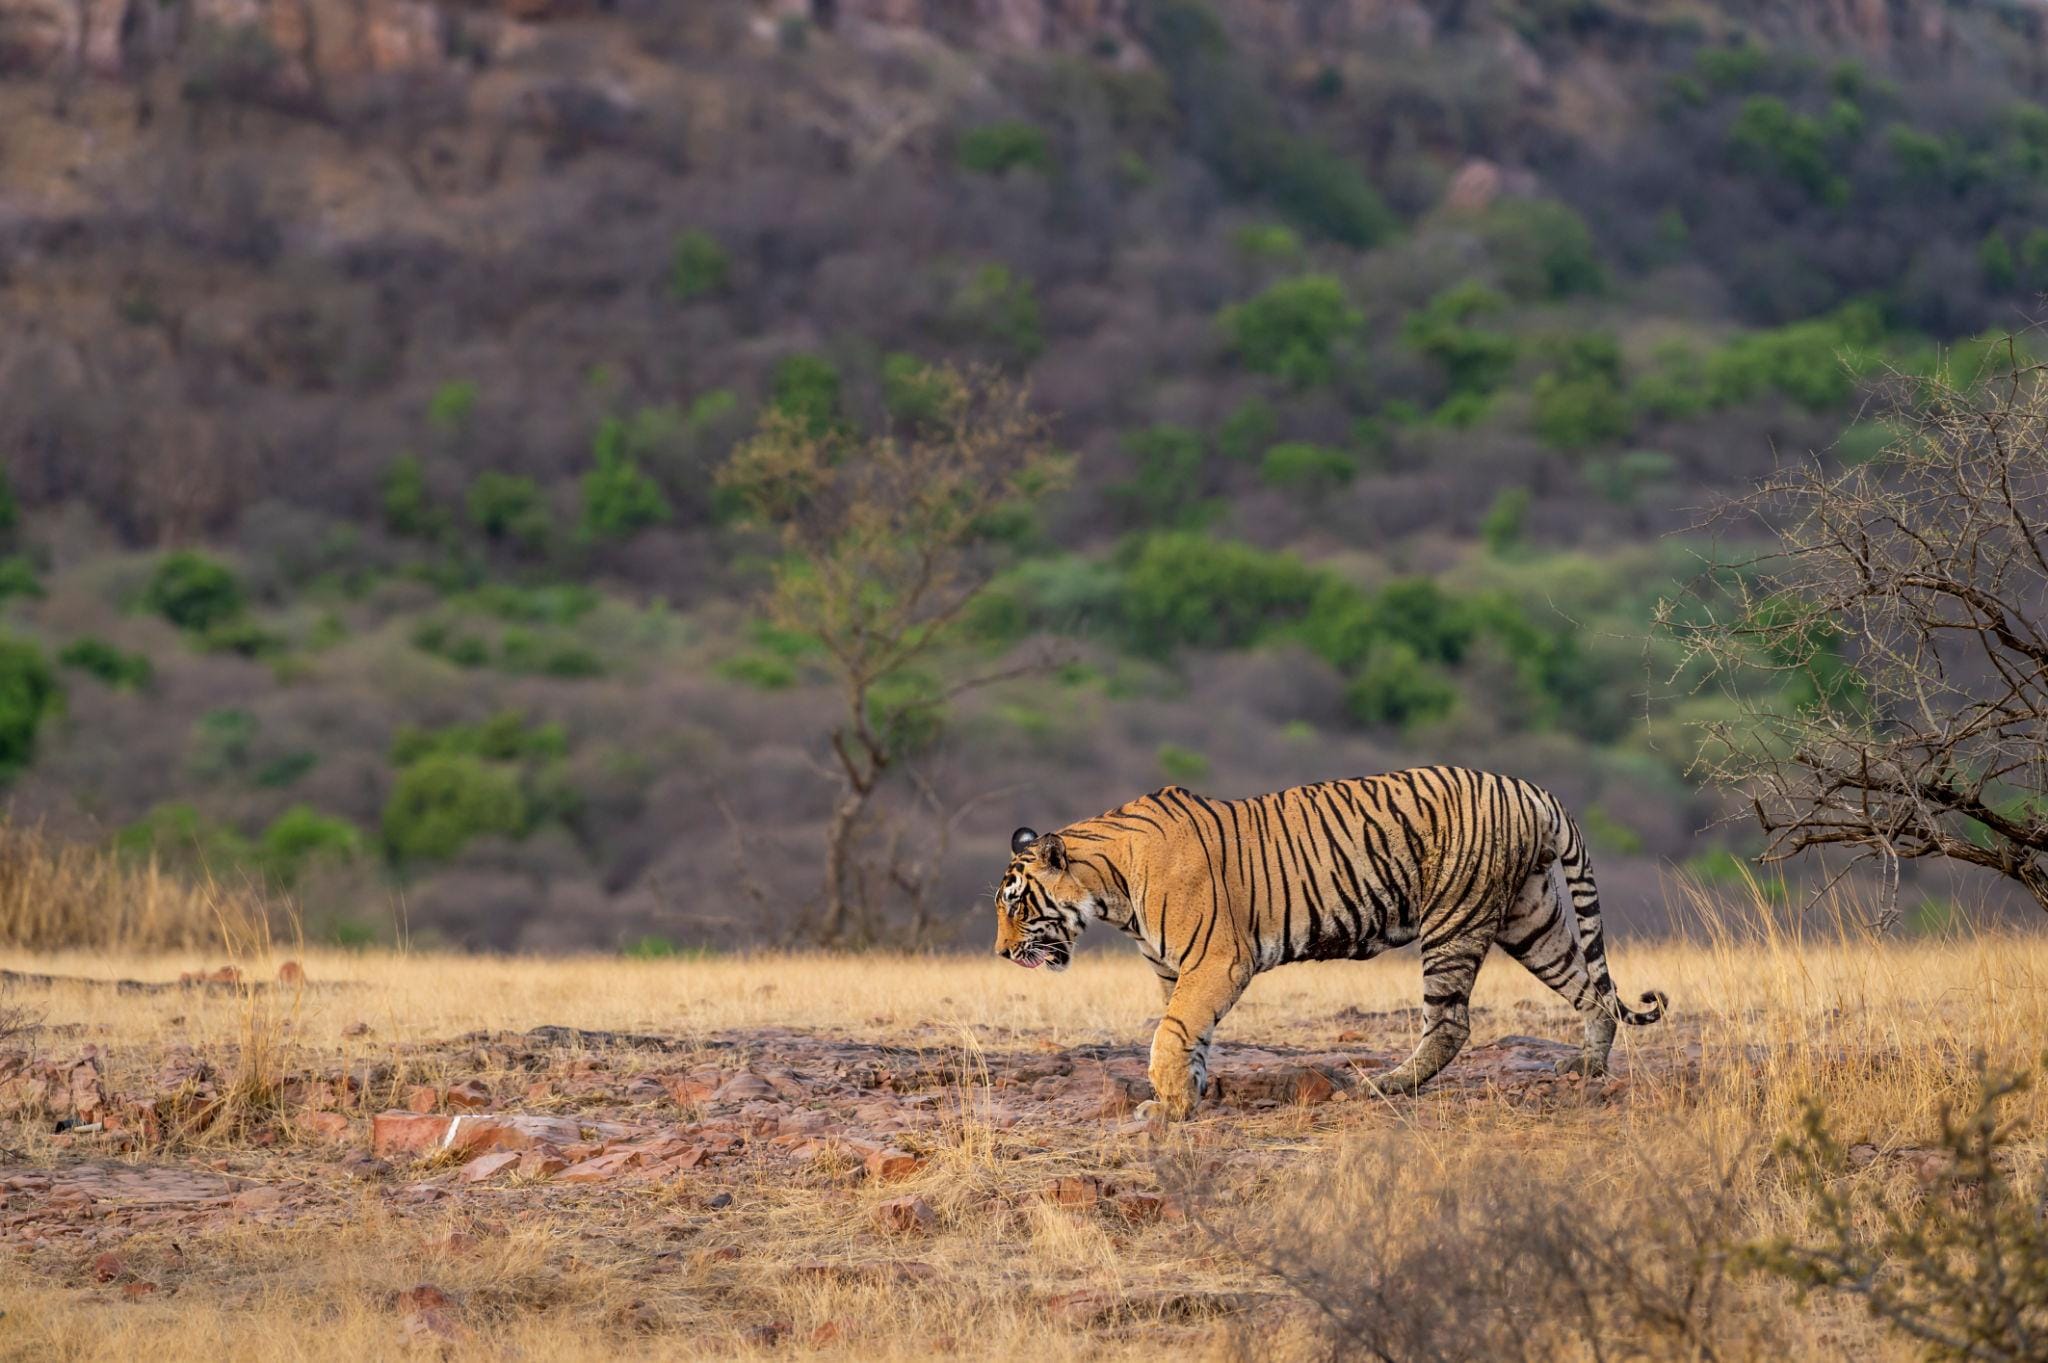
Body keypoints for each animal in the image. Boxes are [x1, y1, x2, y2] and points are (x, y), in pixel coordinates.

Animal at [992, 765, 1666, 1119]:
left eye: (1016, 904)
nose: (1000, 954)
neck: (1111, 891)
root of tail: (1530, 787)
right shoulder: (1175, 970)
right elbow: (1187, 1034)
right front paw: (1189, 1095)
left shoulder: (1216, 962)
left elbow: (1170, 1033)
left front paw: (1170, 1104)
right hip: (1531, 918)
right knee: (1590, 990)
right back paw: (1588, 1068)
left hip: (1455, 920)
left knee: (1450, 1023)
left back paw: (1383, 1087)